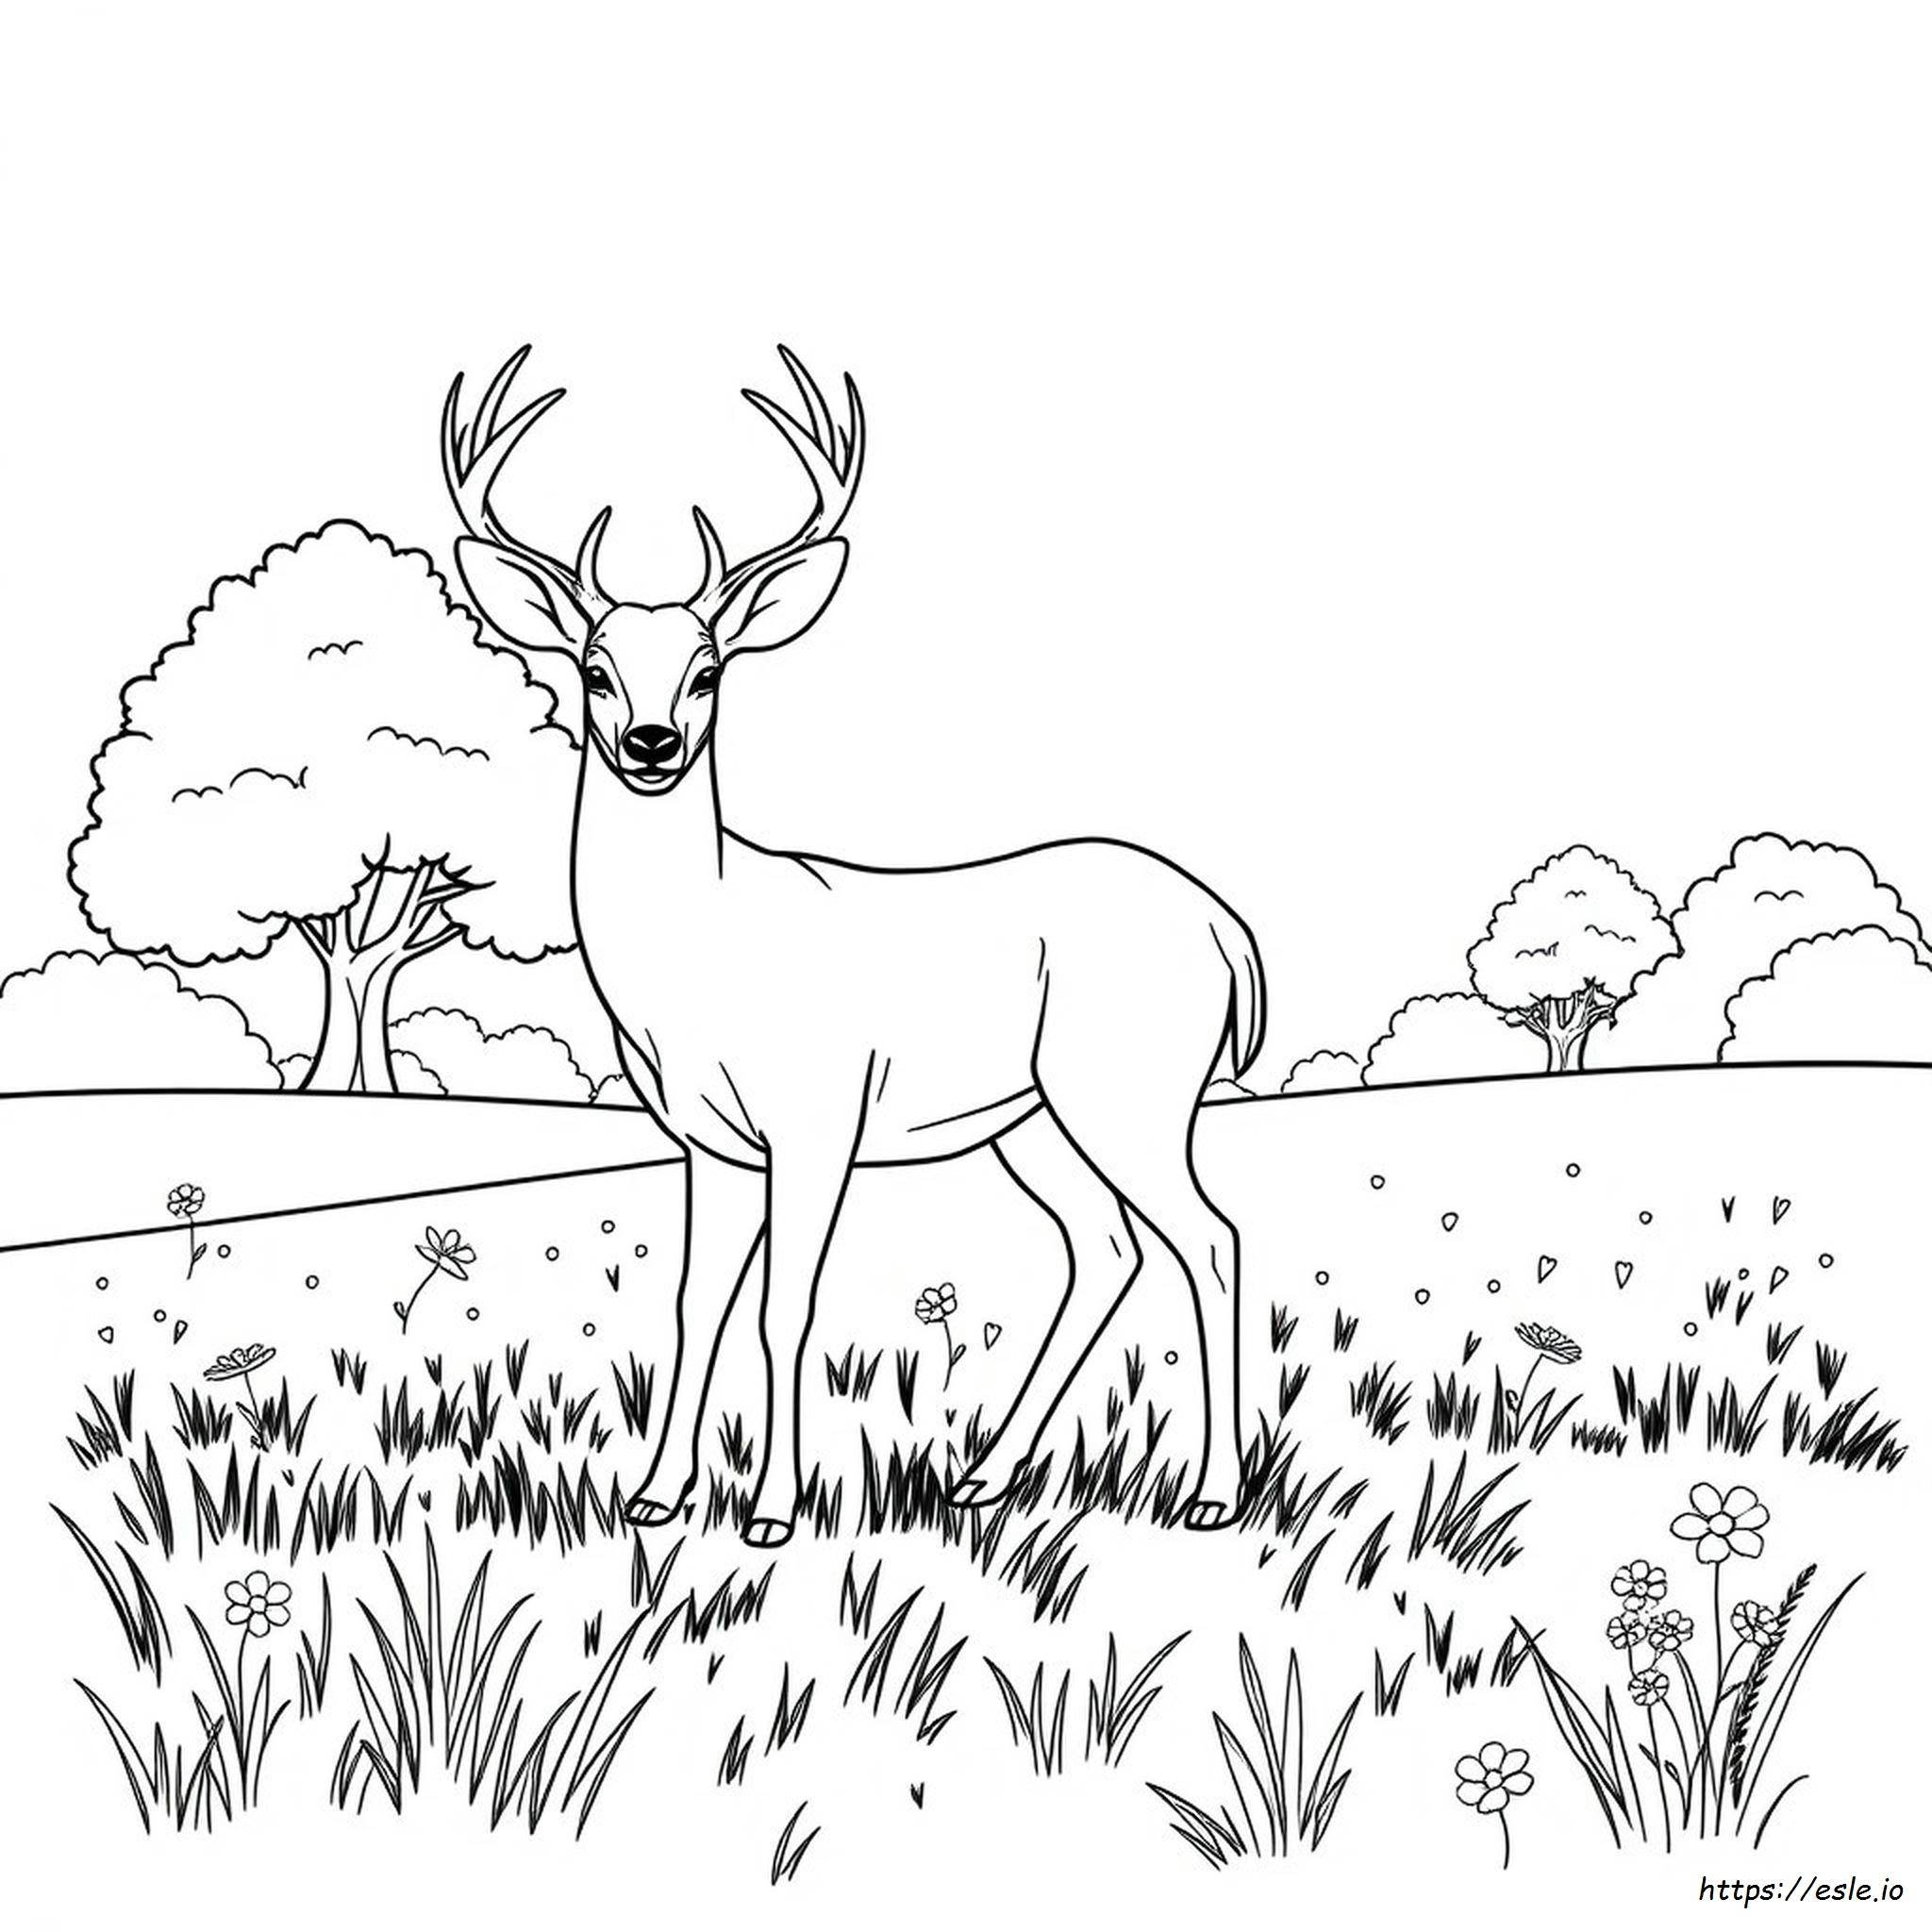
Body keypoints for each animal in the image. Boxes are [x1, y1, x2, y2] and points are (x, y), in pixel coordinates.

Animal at [442, 347, 1265, 1547]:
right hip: (1028, 1115)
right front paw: (655, 1494)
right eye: (593, 668)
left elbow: (787, 1307)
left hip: (1130, 1083)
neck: (698, 959)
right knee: (1103, 1244)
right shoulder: (708, 1142)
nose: (651, 741)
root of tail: (1225, 928)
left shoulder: (818, 1113)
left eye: (707, 670)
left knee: (1205, 1238)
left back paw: (1211, 1491)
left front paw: (772, 1511)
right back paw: (982, 1475)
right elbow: (696, 1303)